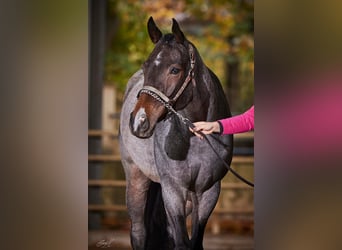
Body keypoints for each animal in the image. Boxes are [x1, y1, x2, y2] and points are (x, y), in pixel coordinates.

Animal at [119, 16, 234, 249]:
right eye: (145, 66)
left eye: (174, 70)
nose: (139, 121)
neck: (195, 139)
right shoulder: (173, 190)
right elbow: (181, 241)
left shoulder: (208, 192)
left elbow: (193, 242)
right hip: (136, 178)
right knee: (138, 231)